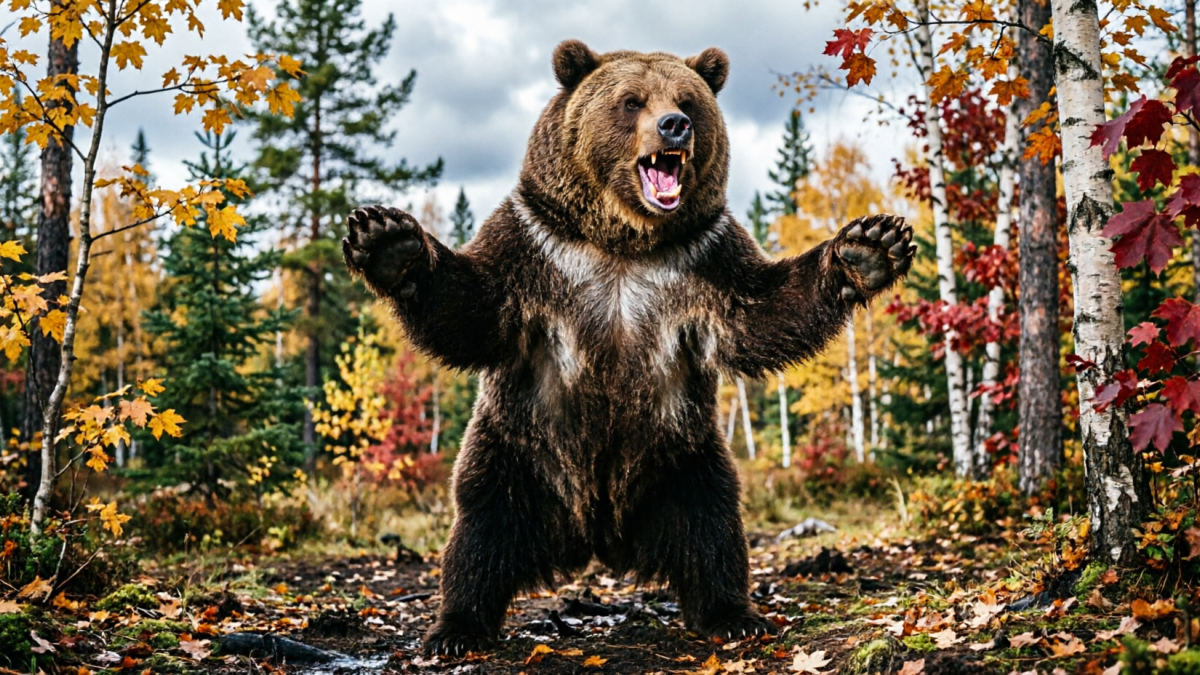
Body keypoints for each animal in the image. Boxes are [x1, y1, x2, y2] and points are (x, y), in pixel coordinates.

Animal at [342, 40, 914, 655]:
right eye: (631, 101)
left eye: (687, 99)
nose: (675, 125)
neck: (624, 241)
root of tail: (596, 533)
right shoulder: (535, 245)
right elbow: (473, 309)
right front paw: (389, 241)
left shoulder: (705, 255)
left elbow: (762, 315)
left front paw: (868, 247)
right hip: (517, 450)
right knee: (481, 531)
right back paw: (457, 627)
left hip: (683, 457)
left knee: (712, 528)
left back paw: (734, 614)